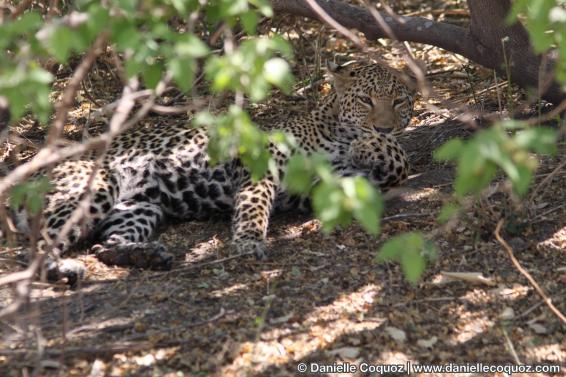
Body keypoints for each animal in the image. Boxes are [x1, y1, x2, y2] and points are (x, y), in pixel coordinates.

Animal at [8, 59, 418, 282]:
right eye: (365, 100)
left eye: (399, 102)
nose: (384, 126)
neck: (335, 131)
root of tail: (25, 177)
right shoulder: (264, 164)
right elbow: (254, 205)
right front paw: (248, 242)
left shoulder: (327, 188)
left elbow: (399, 162)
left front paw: (376, 146)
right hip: (95, 184)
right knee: (37, 250)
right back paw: (65, 268)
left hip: (140, 206)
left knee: (107, 243)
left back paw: (146, 255)